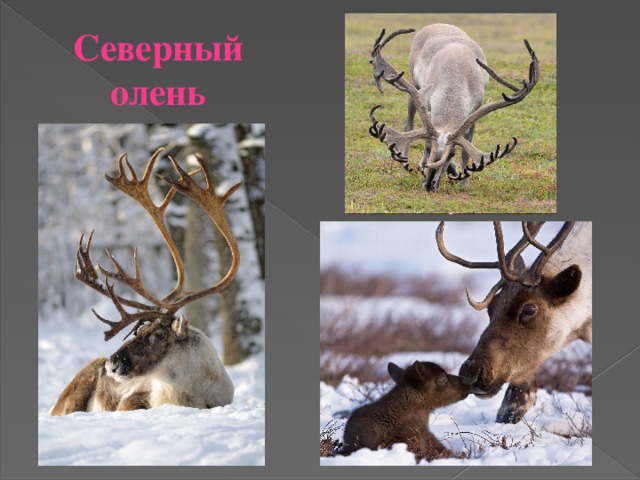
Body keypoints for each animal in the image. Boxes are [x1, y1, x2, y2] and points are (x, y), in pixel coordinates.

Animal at [368, 24, 540, 192]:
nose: (429, 185)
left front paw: (463, 180)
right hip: (412, 84)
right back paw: (406, 163)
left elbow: (465, 151)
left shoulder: (473, 112)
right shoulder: (428, 105)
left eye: (451, 154)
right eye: (429, 148)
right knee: (408, 124)